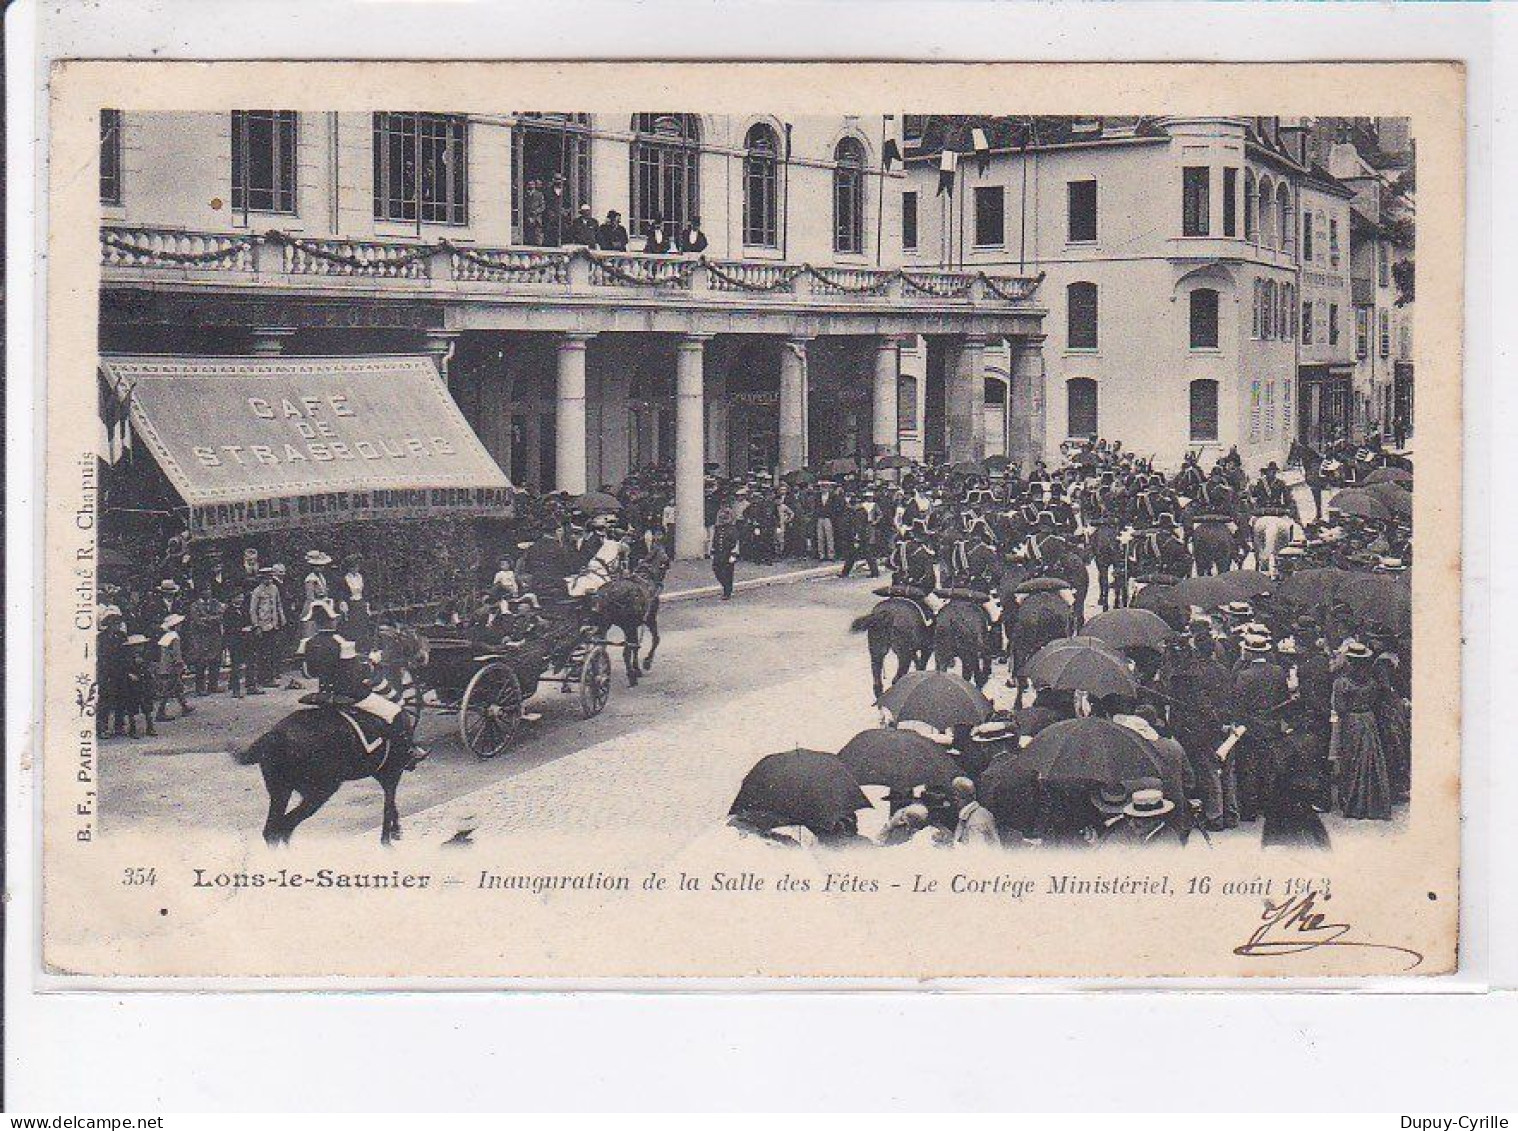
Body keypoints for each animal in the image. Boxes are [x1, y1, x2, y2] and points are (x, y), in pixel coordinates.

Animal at [227, 622, 428, 844]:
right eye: (411, 637)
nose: (423, 658)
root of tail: (276, 736)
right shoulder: (393, 771)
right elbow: (388, 807)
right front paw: (389, 838)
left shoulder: (383, 774)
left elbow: (390, 805)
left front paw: (395, 830)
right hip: (319, 791)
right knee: (284, 827)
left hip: (281, 790)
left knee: (273, 830)